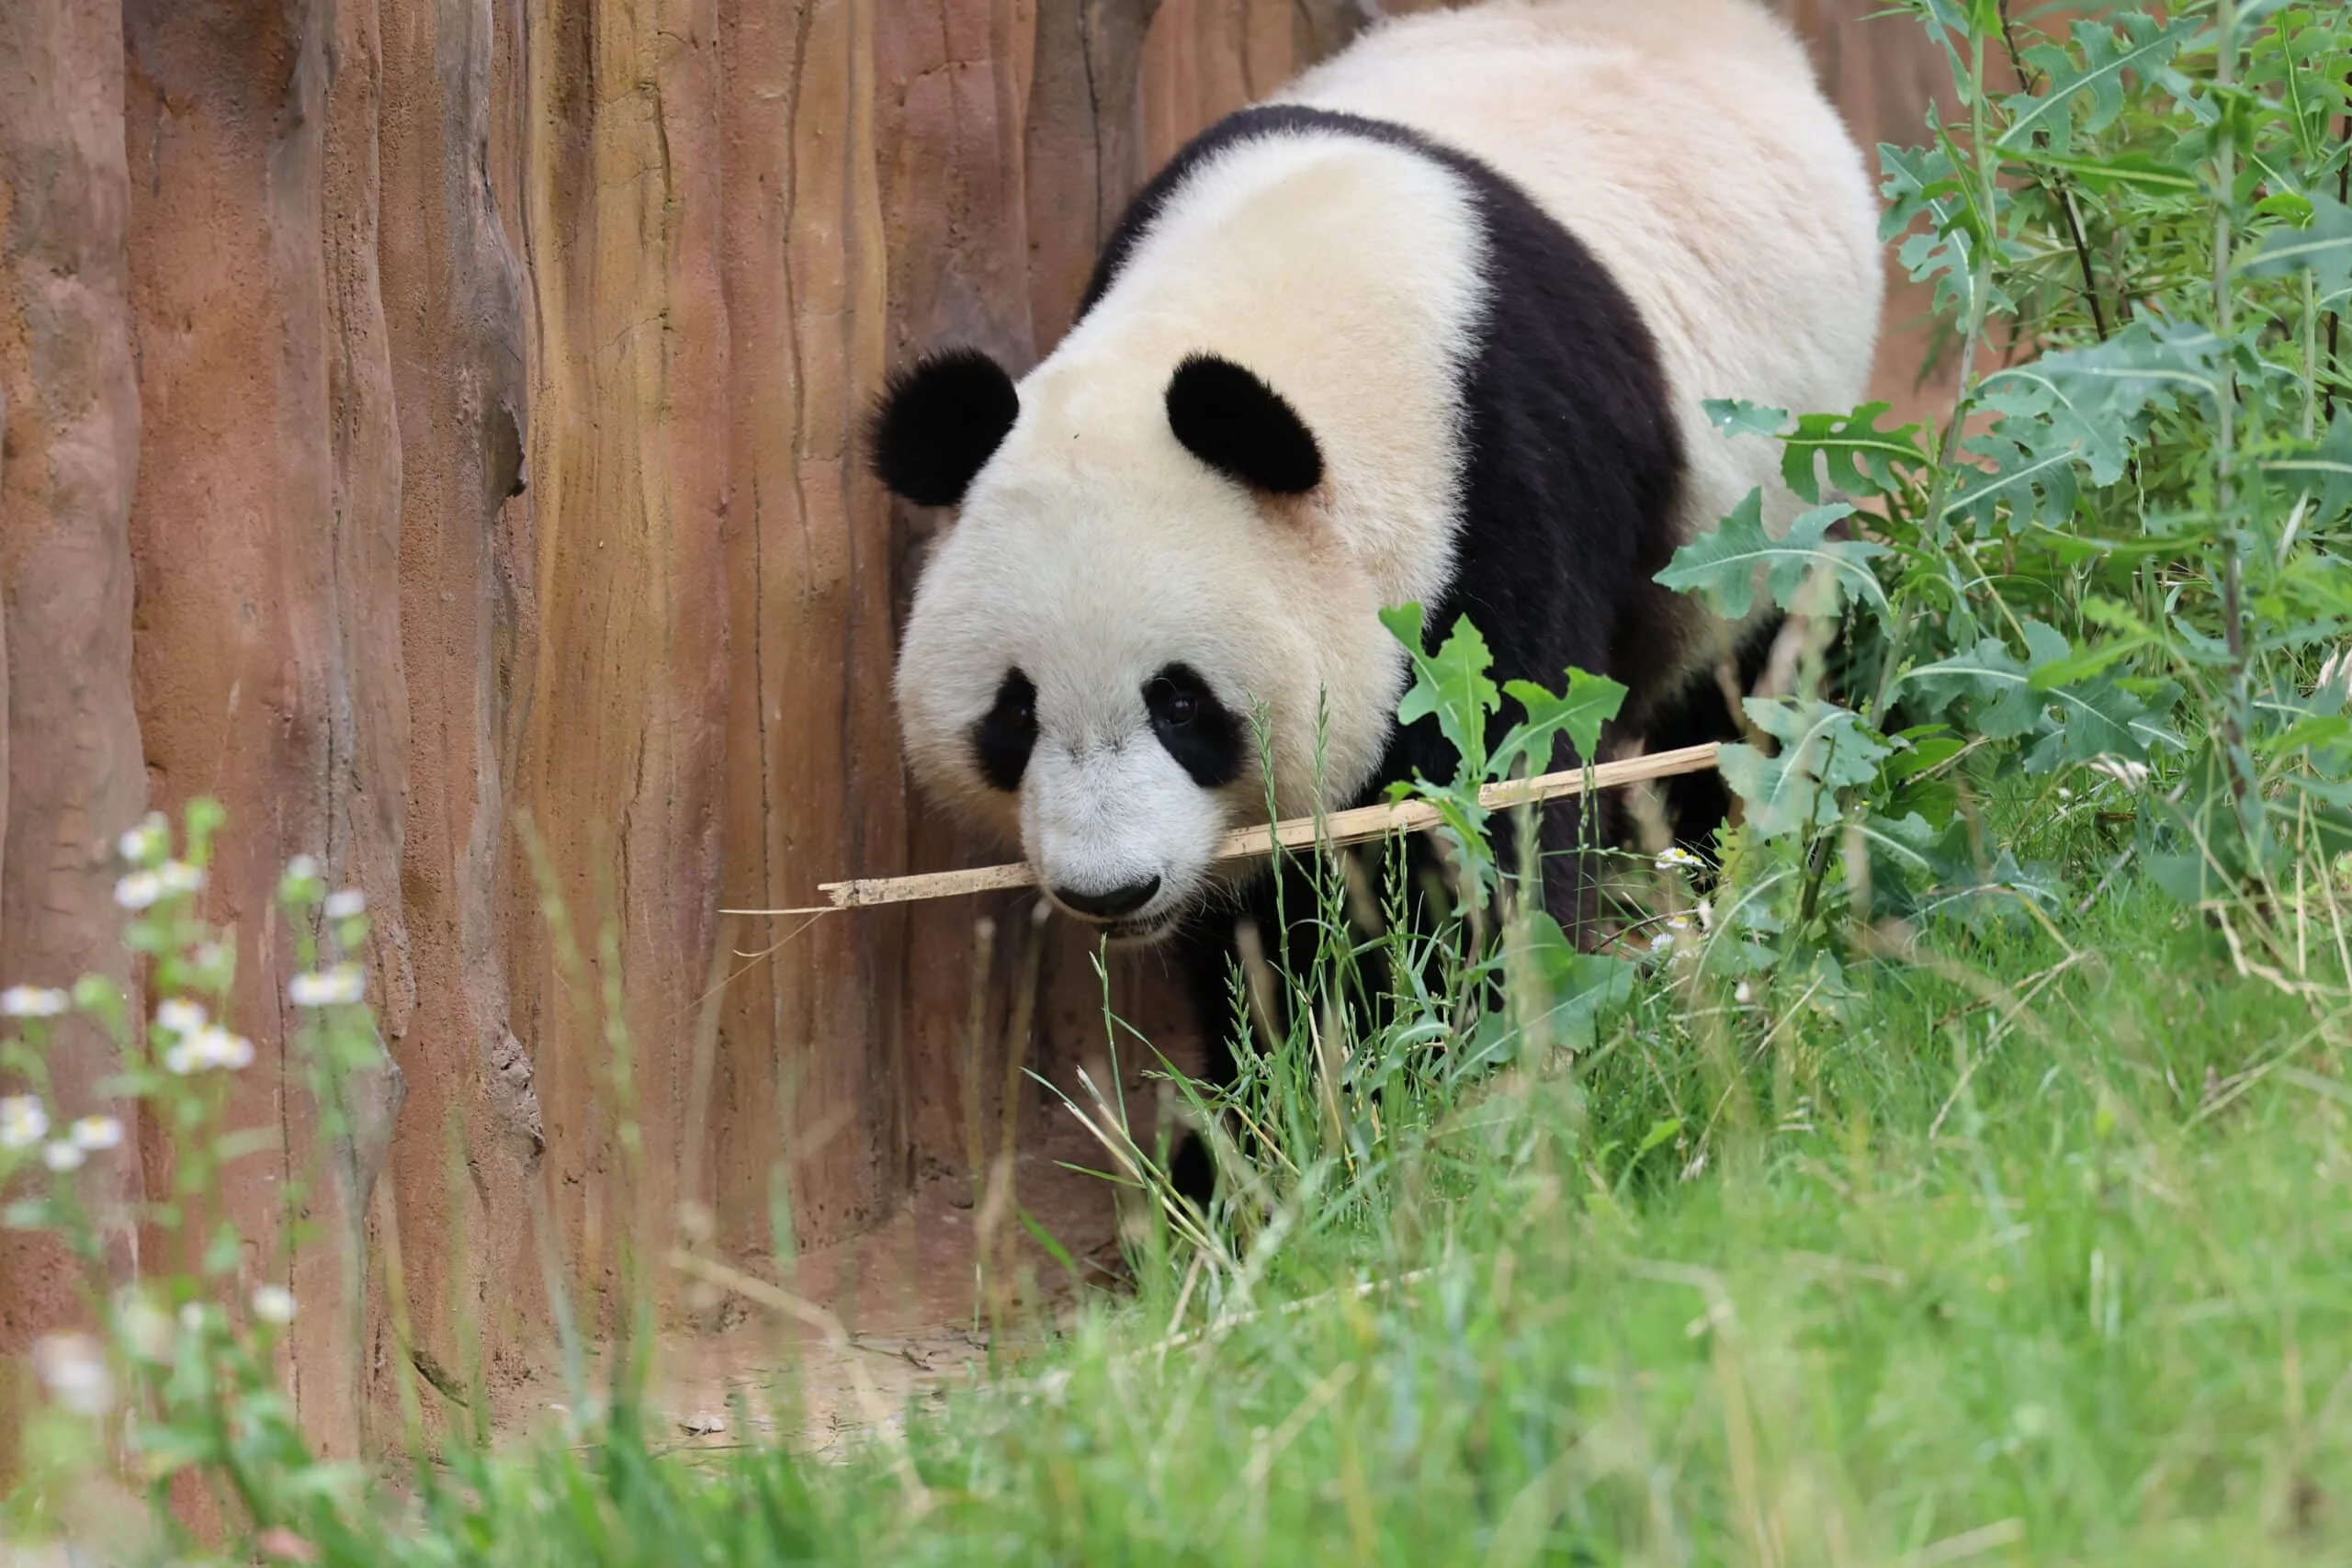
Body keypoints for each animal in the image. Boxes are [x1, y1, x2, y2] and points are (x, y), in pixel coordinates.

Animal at [870, 0, 1882, 1191]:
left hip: (1763, 509)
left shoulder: (1507, 487)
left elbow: (1476, 827)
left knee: (1748, 689)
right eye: (1013, 713)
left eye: (1181, 704)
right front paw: (1249, 1135)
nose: (1108, 891)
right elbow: (1255, 921)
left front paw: (1431, 1086)